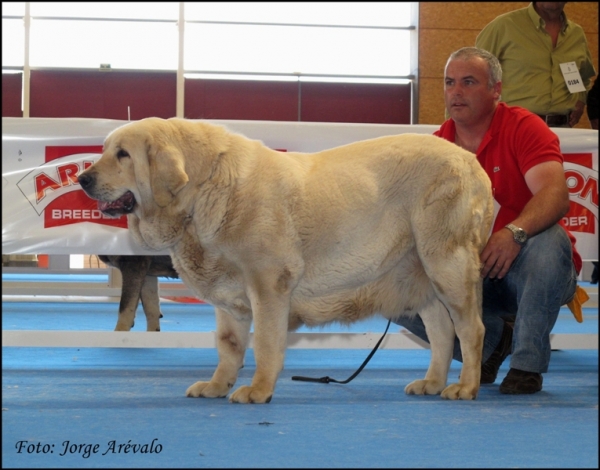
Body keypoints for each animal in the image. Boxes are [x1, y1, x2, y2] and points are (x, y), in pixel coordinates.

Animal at [78, 116, 492, 400]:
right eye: (105, 150)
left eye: (123, 155)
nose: (83, 178)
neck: (203, 192)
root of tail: (471, 162)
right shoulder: (227, 296)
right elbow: (228, 345)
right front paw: (217, 384)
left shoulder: (268, 284)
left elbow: (264, 342)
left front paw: (259, 390)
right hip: (421, 275)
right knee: (442, 331)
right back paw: (432, 382)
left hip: (446, 263)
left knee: (471, 329)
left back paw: (465, 387)